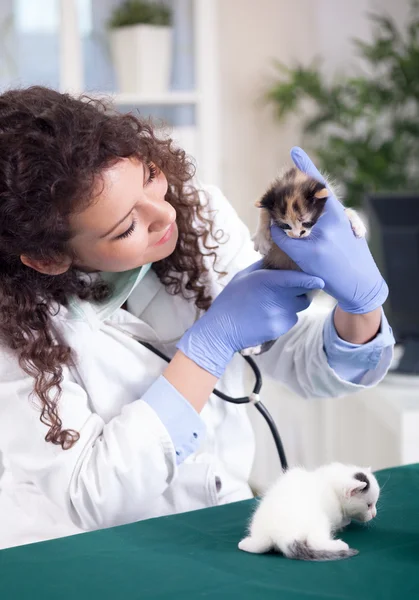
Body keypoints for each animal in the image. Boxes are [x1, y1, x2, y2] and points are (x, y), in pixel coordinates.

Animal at [240, 464, 380, 564]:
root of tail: (284, 538)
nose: (374, 514)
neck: (328, 480)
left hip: (259, 526)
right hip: (320, 521)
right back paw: (340, 545)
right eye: (369, 505)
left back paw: (244, 544)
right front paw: (346, 522)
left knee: (260, 545)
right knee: (315, 542)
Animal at [243, 166, 368, 354]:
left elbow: (344, 210)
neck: (293, 178)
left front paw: (357, 223)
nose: (296, 235)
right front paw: (261, 237)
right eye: (285, 225)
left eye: (306, 222)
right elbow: (264, 211)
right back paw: (253, 345)